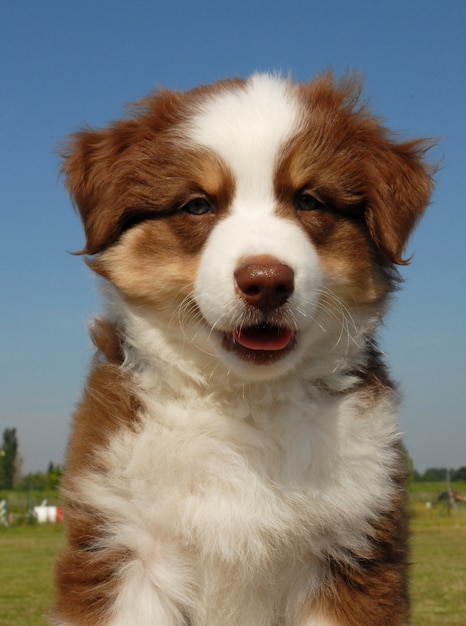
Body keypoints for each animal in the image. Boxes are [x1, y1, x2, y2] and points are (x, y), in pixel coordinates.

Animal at [53, 70, 434, 620]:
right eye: (197, 204)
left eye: (308, 201)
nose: (267, 282)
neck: (247, 403)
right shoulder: (124, 544)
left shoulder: (353, 551)